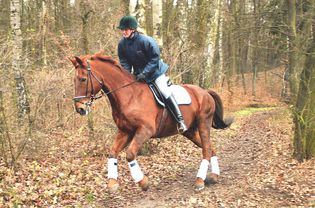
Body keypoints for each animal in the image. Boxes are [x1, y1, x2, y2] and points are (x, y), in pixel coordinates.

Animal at [69, 51, 232, 192]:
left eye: (83, 79)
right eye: (74, 80)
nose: (80, 109)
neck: (129, 96)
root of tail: (205, 92)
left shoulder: (145, 130)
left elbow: (130, 154)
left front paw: (142, 182)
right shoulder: (125, 131)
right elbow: (112, 152)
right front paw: (112, 183)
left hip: (204, 123)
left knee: (206, 150)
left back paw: (199, 181)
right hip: (190, 131)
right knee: (210, 148)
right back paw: (213, 176)